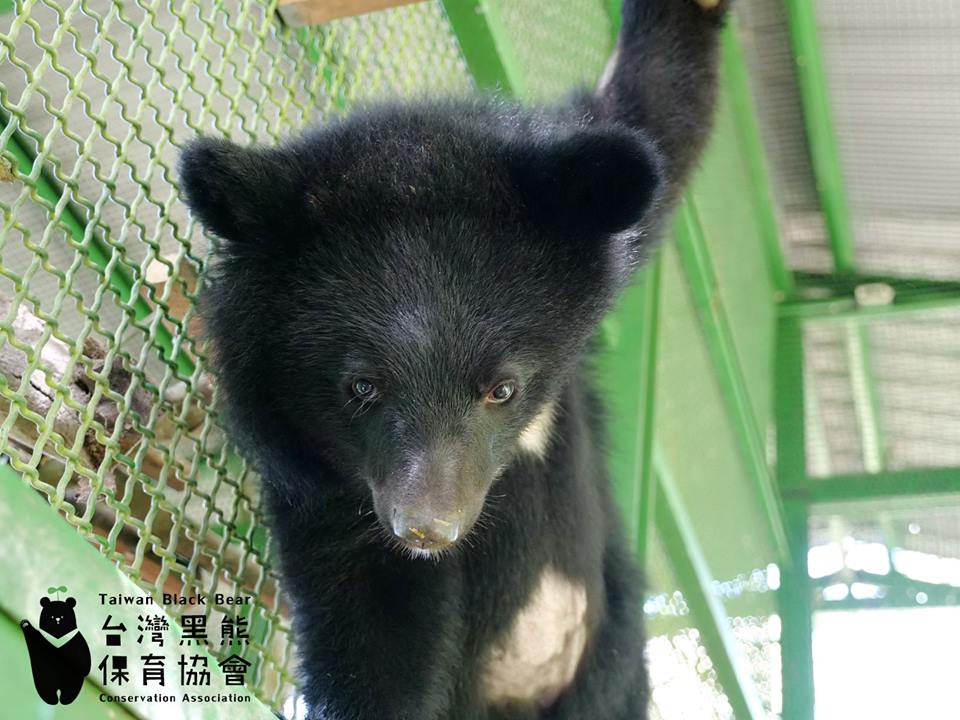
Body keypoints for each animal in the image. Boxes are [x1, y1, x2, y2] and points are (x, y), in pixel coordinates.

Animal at [178, 1, 729, 718]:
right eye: (361, 387)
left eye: (502, 389)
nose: (427, 529)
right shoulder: (323, 477)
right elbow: (369, 612)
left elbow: (656, 107)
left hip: (613, 651)